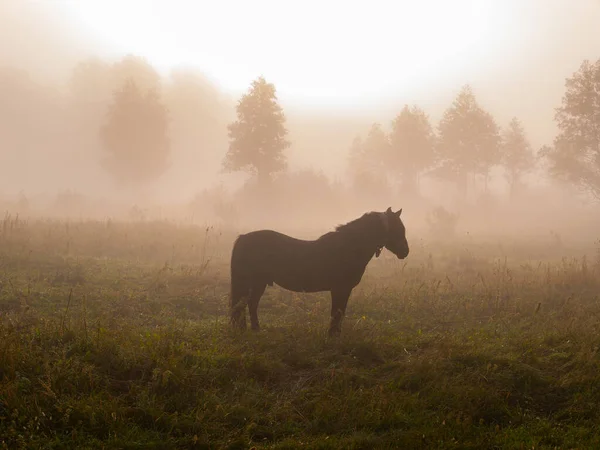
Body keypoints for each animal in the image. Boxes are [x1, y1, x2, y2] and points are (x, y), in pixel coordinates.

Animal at [229, 207, 408, 334]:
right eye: (397, 229)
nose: (405, 252)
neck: (348, 247)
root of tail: (243, 237)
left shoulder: (343, 289)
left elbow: (339, 311)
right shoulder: (340, 289)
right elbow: (337, 312)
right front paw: (333, 334)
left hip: (258, 283)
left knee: (249, 304)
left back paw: (254, 329)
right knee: (244, 305)